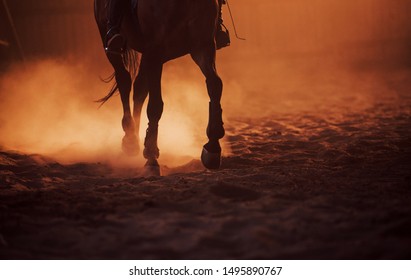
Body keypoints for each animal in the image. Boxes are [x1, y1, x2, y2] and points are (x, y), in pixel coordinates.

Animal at [94, 0, 225, 175]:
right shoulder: (155, 52)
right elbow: (155, 105)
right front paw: (151, 156)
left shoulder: (203, 46)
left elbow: (215, 85)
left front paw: (212, 148)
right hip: (110, 45)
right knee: (124, 81)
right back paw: (129, 138)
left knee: (140, 89)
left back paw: (135, 139)